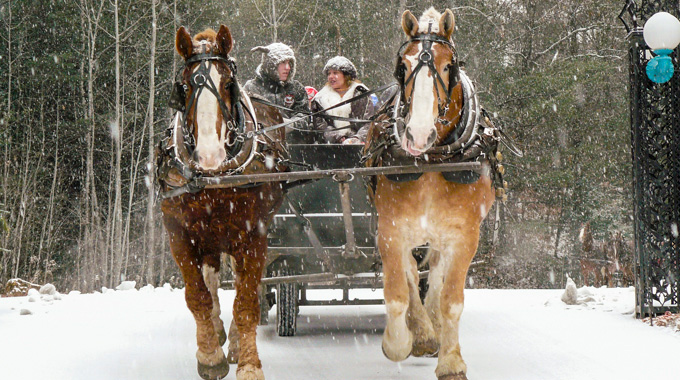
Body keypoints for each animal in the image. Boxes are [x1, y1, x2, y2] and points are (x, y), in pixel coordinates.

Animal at [157, 25, 286, 378]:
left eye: (229, 83)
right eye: (184, 86)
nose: (210, 155)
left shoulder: (254, 235)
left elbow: (246, 301)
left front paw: (249, 363)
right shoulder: (178, 233)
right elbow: (197, 296)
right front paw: (209, 356)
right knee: (212, 278)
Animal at [366, 8, 504, 380]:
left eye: (448, 66)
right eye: (403, 66)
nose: (418, 134)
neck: (432, 159)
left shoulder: (464, 234)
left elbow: (450, 298)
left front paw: (451, 361)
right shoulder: (390, 230)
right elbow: (398, 292)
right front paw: (400, 342)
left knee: (438, 278)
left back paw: (435, 329)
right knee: (413, 276)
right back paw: (423, 333)